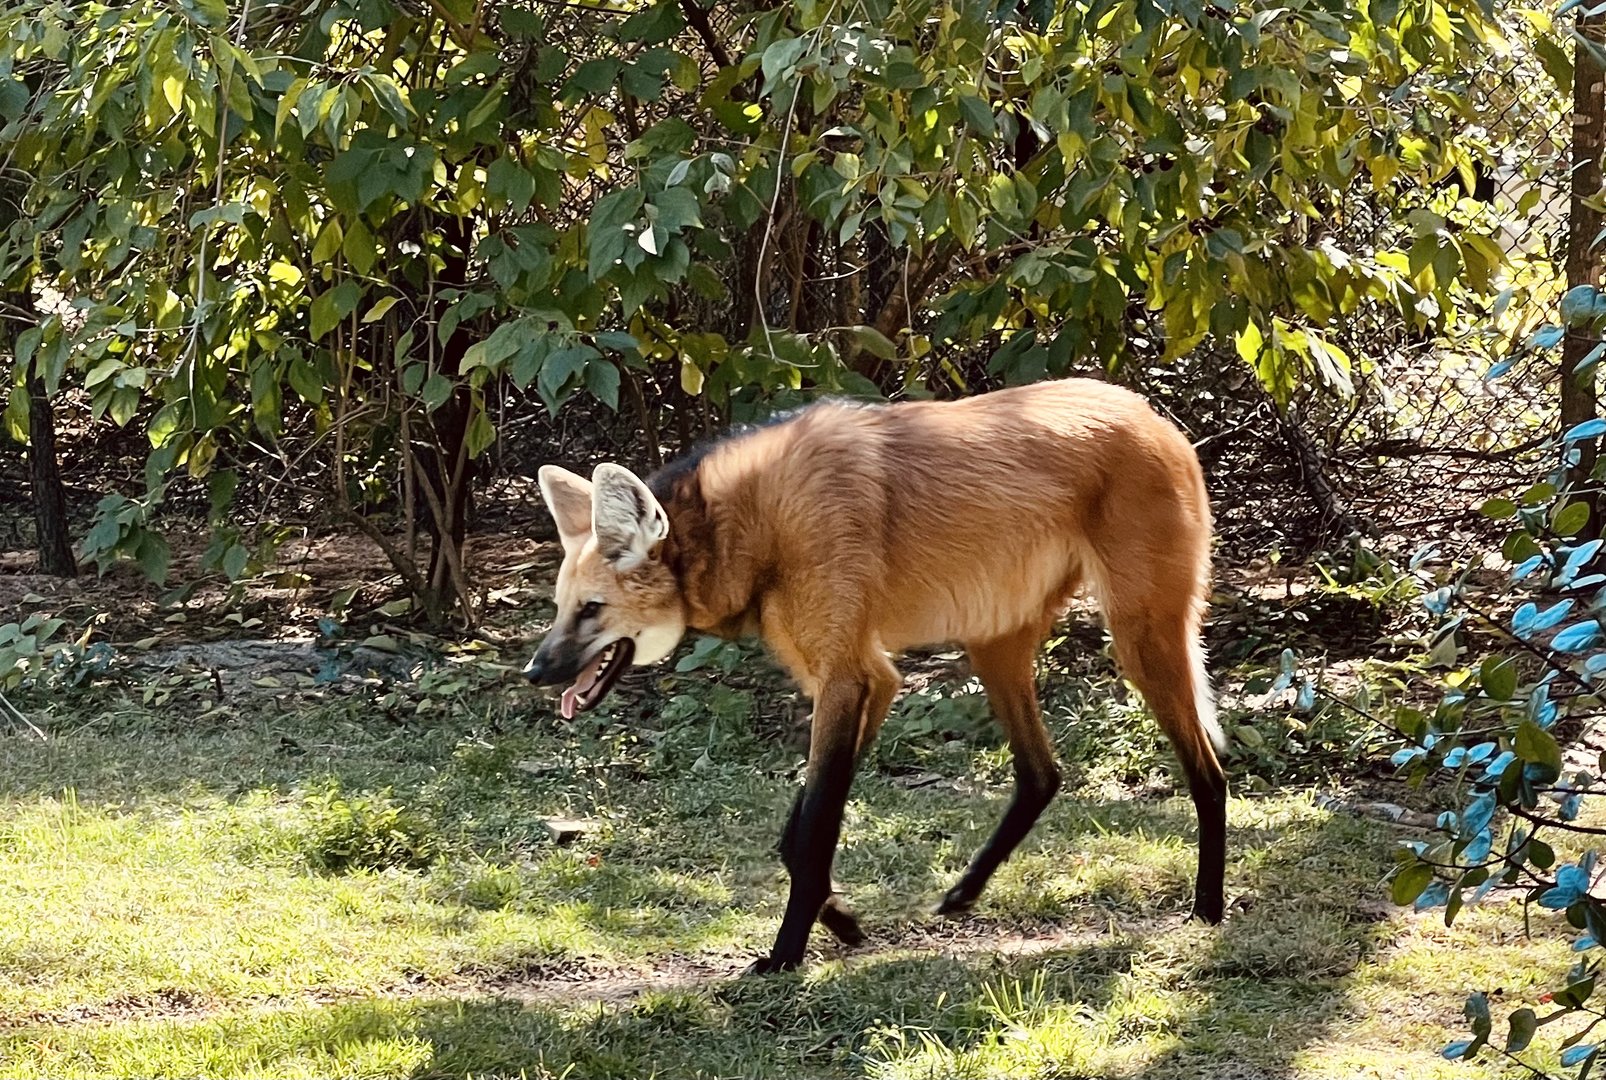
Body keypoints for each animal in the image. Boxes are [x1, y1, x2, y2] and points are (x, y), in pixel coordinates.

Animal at [524, 377, 1227, 973]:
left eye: (591, 609)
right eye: (560, 607)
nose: (535, 670)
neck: (742, 528)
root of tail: (1156, 418)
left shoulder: (848, 677)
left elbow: (814, 828)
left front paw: (785, 955)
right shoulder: (870, 680)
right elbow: (796, 832)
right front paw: (842, 921)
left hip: (1137, 639)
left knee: (1209, 773)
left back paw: (1208, 908)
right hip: (993, 640)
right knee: (1041, 773)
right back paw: (962, 895)